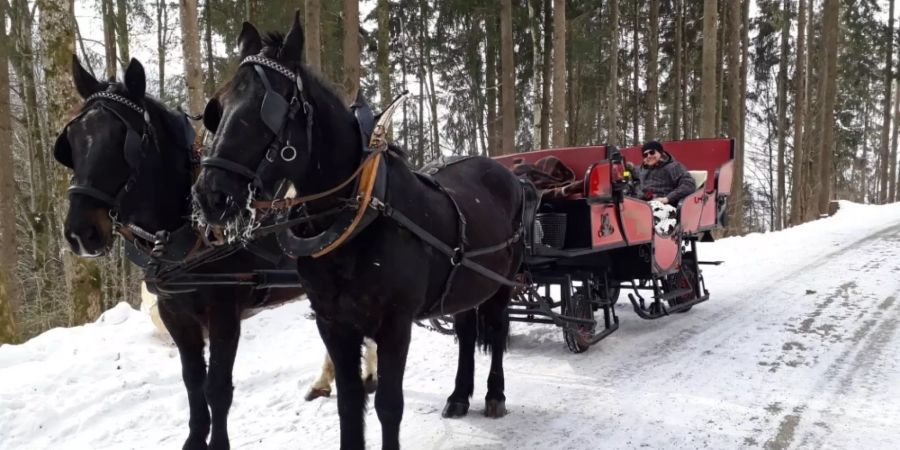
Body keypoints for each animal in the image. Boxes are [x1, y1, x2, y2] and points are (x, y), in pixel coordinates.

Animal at [55, 56, 376, 450]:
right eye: (71, 142)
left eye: (122, 140)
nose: (80, 232)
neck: (189, 230)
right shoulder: (176, 315)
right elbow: (193, 384)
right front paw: (194, 439)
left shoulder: (224, 312)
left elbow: (217, 388)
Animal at [196, 14, 532, 450]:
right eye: (216, 110)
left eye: (264, 108)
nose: (210, 195)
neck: (355, 217)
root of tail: (509, 173)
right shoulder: (332, 322)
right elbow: (350, 402)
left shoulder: (395, 324)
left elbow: (389, 404)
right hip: (465, 285)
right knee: (466, 329)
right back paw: (459, 396)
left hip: (503, 282)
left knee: (496, 327)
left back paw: (494, 395)